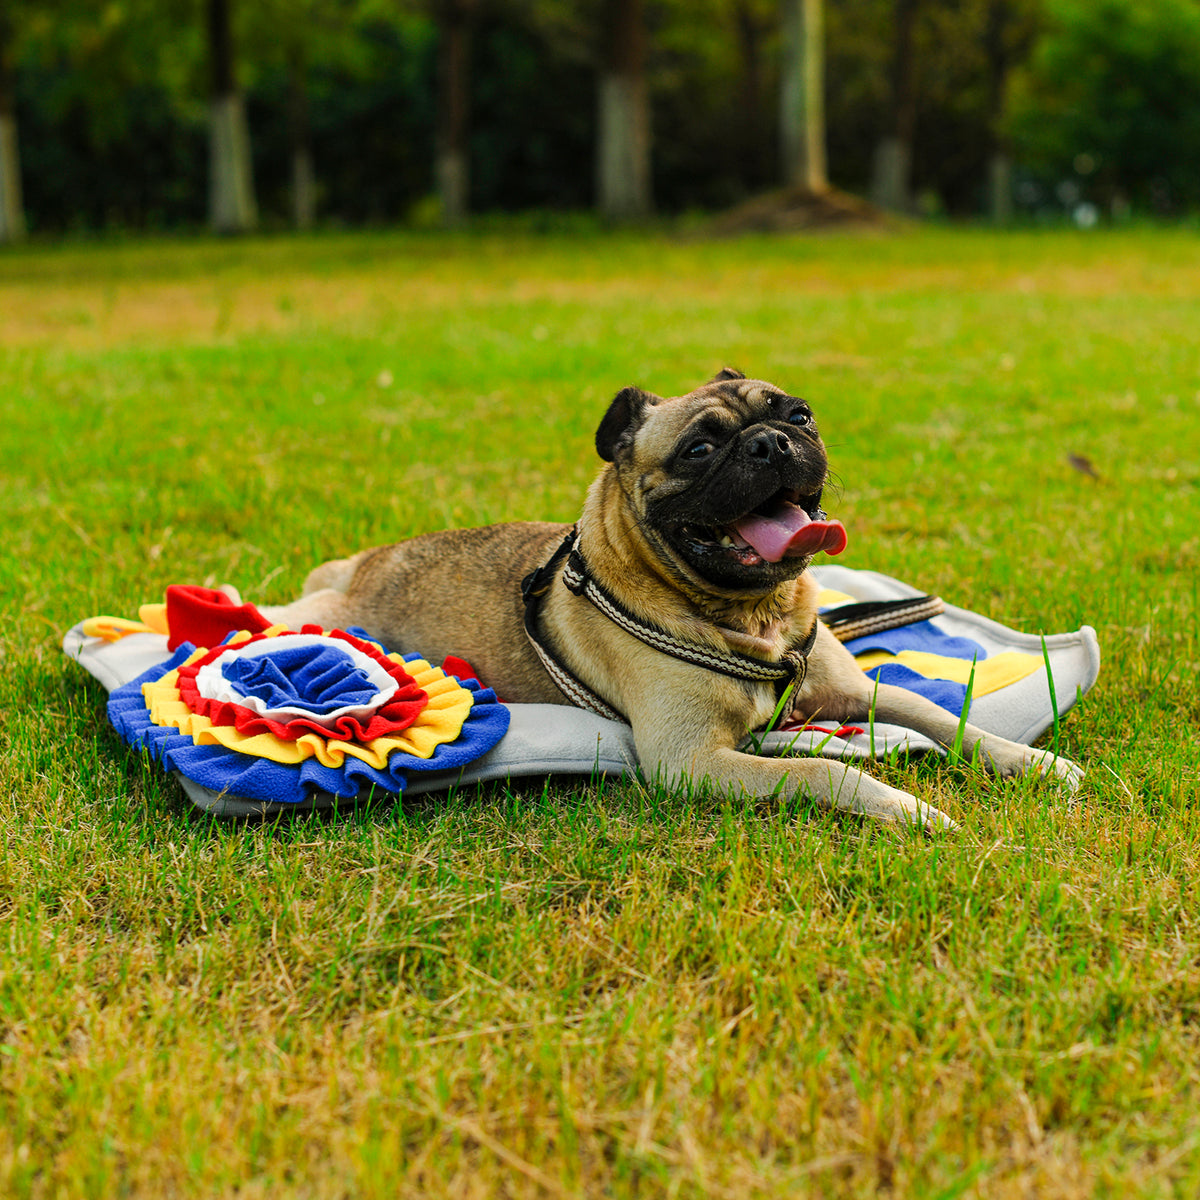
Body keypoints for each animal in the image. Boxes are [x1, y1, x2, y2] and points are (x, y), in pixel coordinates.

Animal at [265, 369, 1089, 830]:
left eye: (799, 415)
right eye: (698, 450)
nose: (771, 441)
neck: (752, 614)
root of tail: (352, 573)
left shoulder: (855, 692)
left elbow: (942, 716)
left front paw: (1032, 762)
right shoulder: (691, 759)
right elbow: (823, 771)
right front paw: (905, 806)